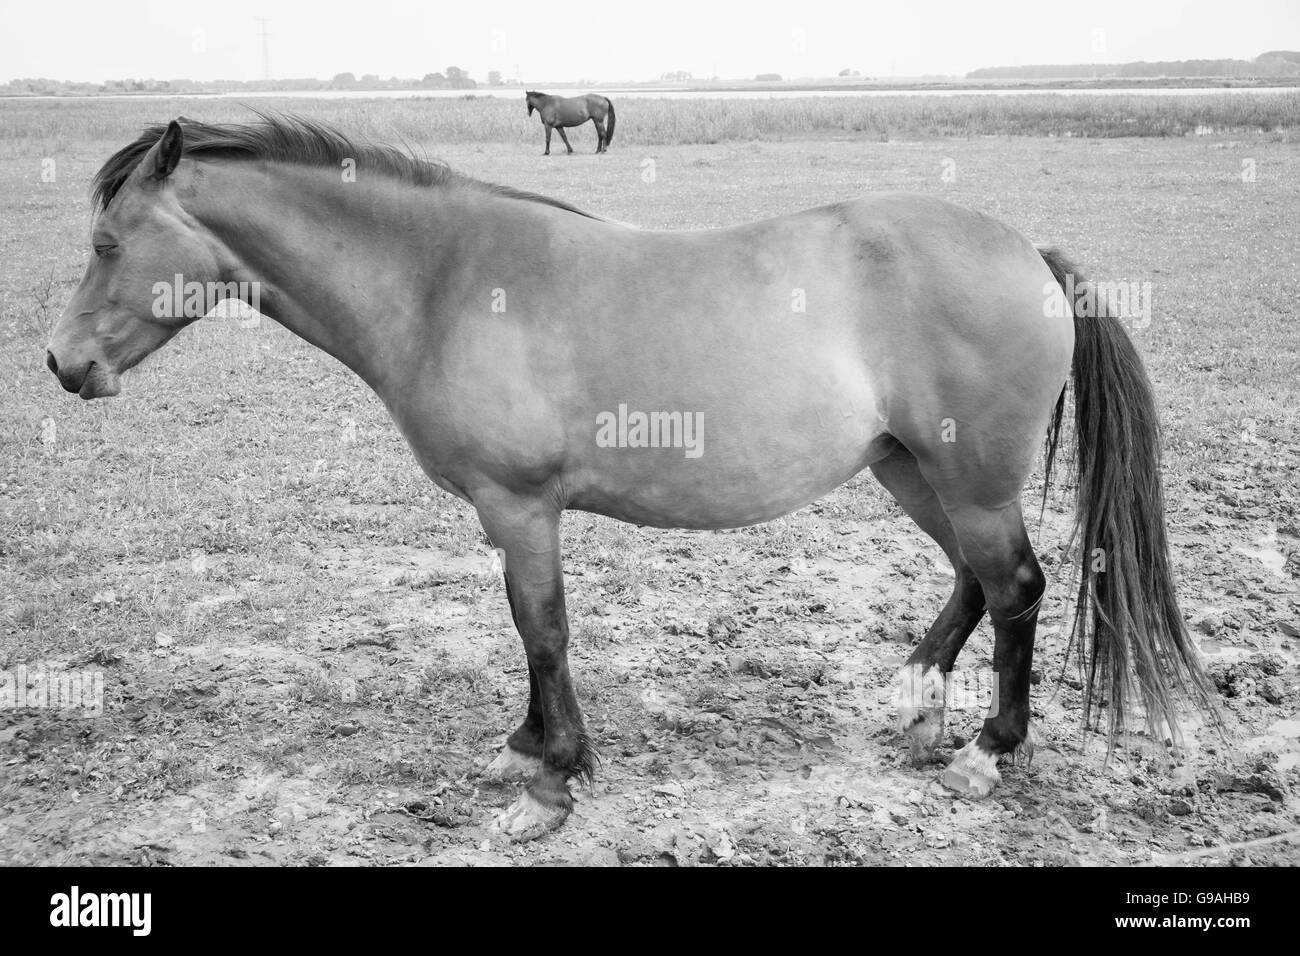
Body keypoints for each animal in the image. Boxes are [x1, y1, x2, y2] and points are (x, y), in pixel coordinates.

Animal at [47, 116, 1216, 841]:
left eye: (106, 241)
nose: (62, 366)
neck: (448, 281)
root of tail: (1029, 253)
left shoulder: (521, 505)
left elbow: (543, 628)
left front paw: (554, 778)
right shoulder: (509, 514)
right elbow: (527, 628)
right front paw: (525, 746)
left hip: (966, 478)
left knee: (1015, 585)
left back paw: (986, 750)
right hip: (911, 470)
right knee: (977, 579)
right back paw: (917, 695)